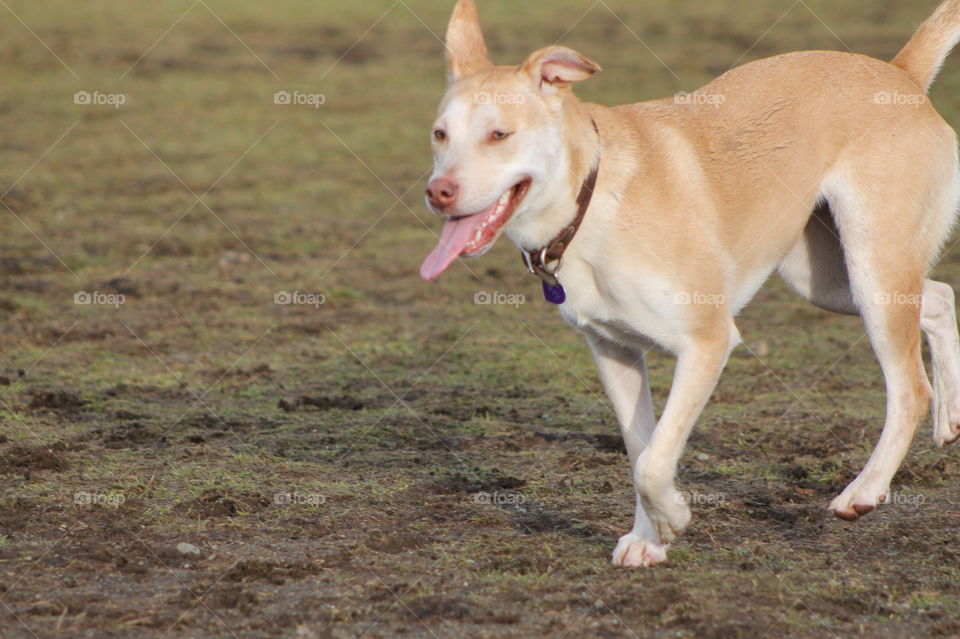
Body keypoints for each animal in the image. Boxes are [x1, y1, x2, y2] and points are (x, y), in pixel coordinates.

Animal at [422, 1, 960, 568]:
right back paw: (949, 418)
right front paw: (648, 539)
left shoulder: (707, 342)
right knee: (939, 297)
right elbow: (641, 451)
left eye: (499, 135)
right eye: (440, 135)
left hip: (872, 267)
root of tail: (900, 73)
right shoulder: (613, 351)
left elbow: (653, 462)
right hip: (828, 280)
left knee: (910, 388)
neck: (590, 197)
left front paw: (674, 517)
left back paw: (865, 490)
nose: (438, 192)